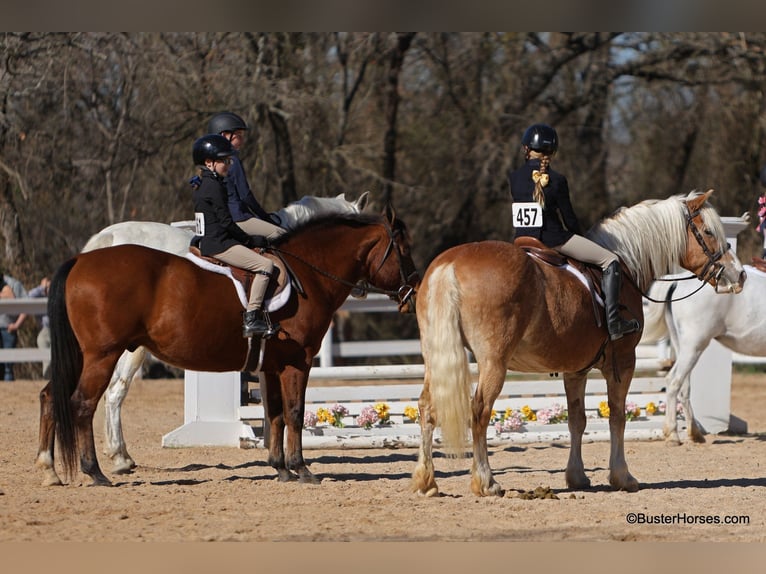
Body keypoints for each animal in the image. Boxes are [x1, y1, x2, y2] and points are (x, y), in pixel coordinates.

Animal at [412, 191, 748, 498]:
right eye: (708, 232)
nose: (739, 275)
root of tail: (451, 263)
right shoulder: (623, 362)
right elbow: (617, 417)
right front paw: (622, 476)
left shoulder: (576, 370)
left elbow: (577, 420)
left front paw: (576, 476)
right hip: (493, 362)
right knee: (479, 411)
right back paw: (486, 481)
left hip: (435, 357)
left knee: (427, 406)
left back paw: (427, 481)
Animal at [644, 264, 764, 446]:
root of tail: (677, 283)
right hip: (694, 345)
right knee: (674, 381)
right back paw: (673, 435)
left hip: (683, 346)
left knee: (683, 387)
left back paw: (695, 434)